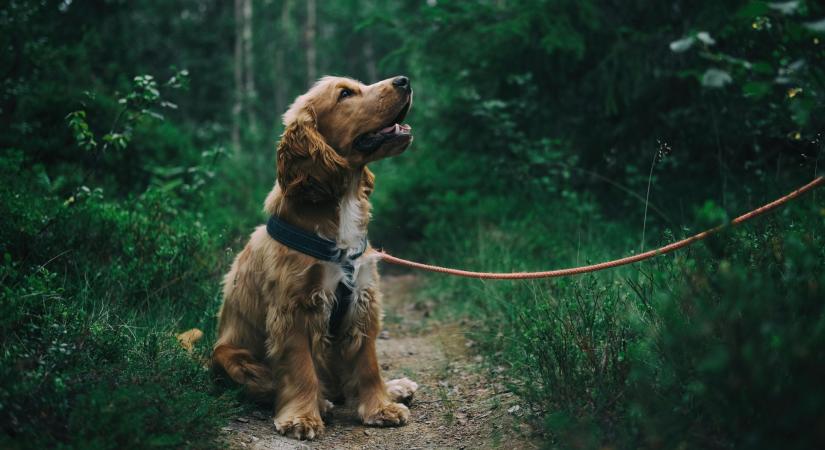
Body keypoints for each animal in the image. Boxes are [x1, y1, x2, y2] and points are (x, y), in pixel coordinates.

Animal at [212, 74, 418, 440]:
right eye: (346, 94)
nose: (404, 80)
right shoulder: (294, 308)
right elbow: (300, 368)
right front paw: (302, 417)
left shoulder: (363, 299)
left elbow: (368, 364)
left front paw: (381, 407)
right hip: (229, 356)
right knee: (272, 383)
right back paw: (321, 402)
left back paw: (395, 387)